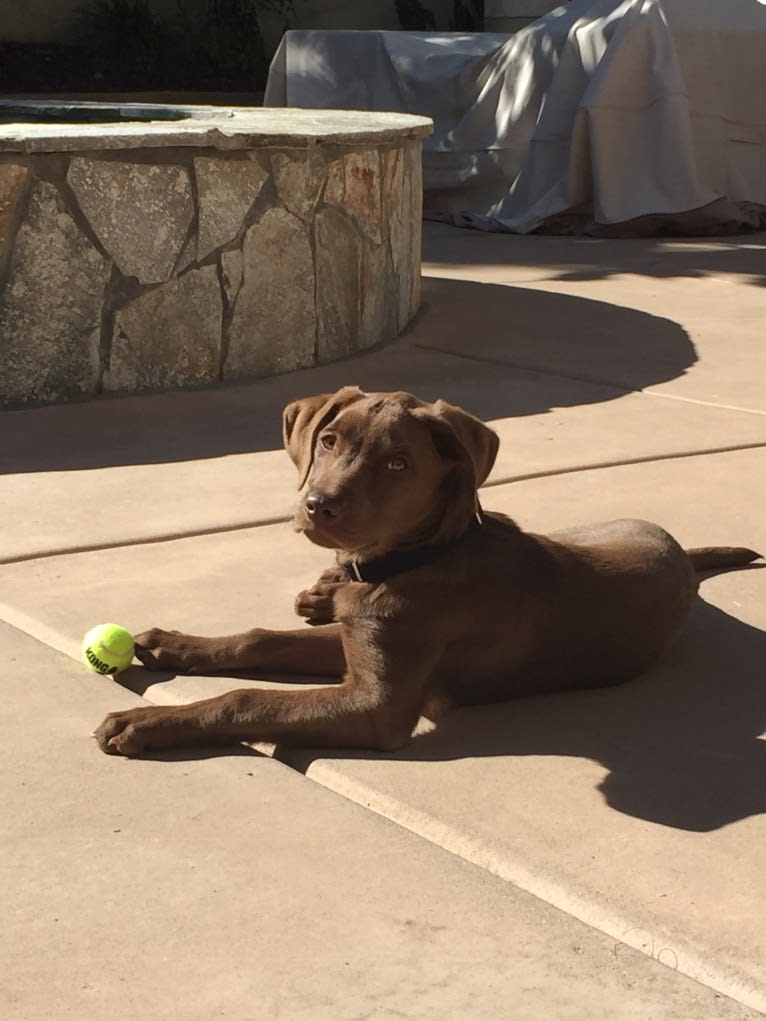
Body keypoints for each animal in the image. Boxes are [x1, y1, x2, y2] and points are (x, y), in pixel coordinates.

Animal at [96, 390, 763, 759]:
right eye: (329, 440)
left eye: (398, 464)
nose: (317, 505)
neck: (412, 561)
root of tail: (679, 551)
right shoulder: (355, 638)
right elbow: (259, 640)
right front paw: (176, 644)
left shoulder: (376, 704)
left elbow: (247, 697)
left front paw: (146, 721)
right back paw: (320, 589)